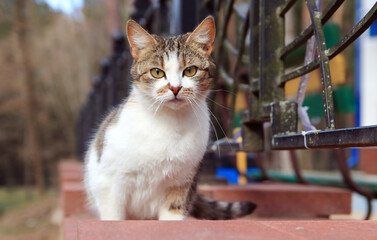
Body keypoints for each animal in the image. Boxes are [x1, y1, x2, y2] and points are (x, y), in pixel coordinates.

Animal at [84, 15, 256, 220]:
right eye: (157, 72)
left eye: (190, 70)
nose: (175, 88)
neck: (169, 123)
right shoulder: (108, 182)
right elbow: (113, 214)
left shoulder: (182, 182)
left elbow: (173, 212)